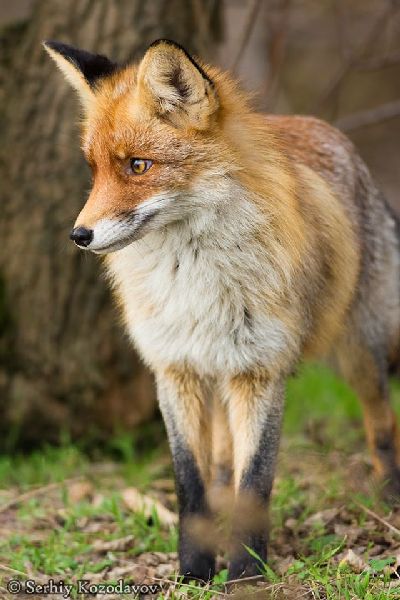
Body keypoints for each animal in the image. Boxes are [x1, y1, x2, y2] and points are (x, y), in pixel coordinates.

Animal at [43, 38, 400, 580]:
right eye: (95, 170)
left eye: (138, 166)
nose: (78, 236)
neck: (194, 283)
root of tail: (324, 128)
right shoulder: (175, 369)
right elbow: (190, 483)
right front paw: (194, 570)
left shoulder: (261, 372)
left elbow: (255, 484)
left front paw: (247, 573)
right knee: (223, 463)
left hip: (356, 350)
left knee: (381, 423)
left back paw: (388, 500)